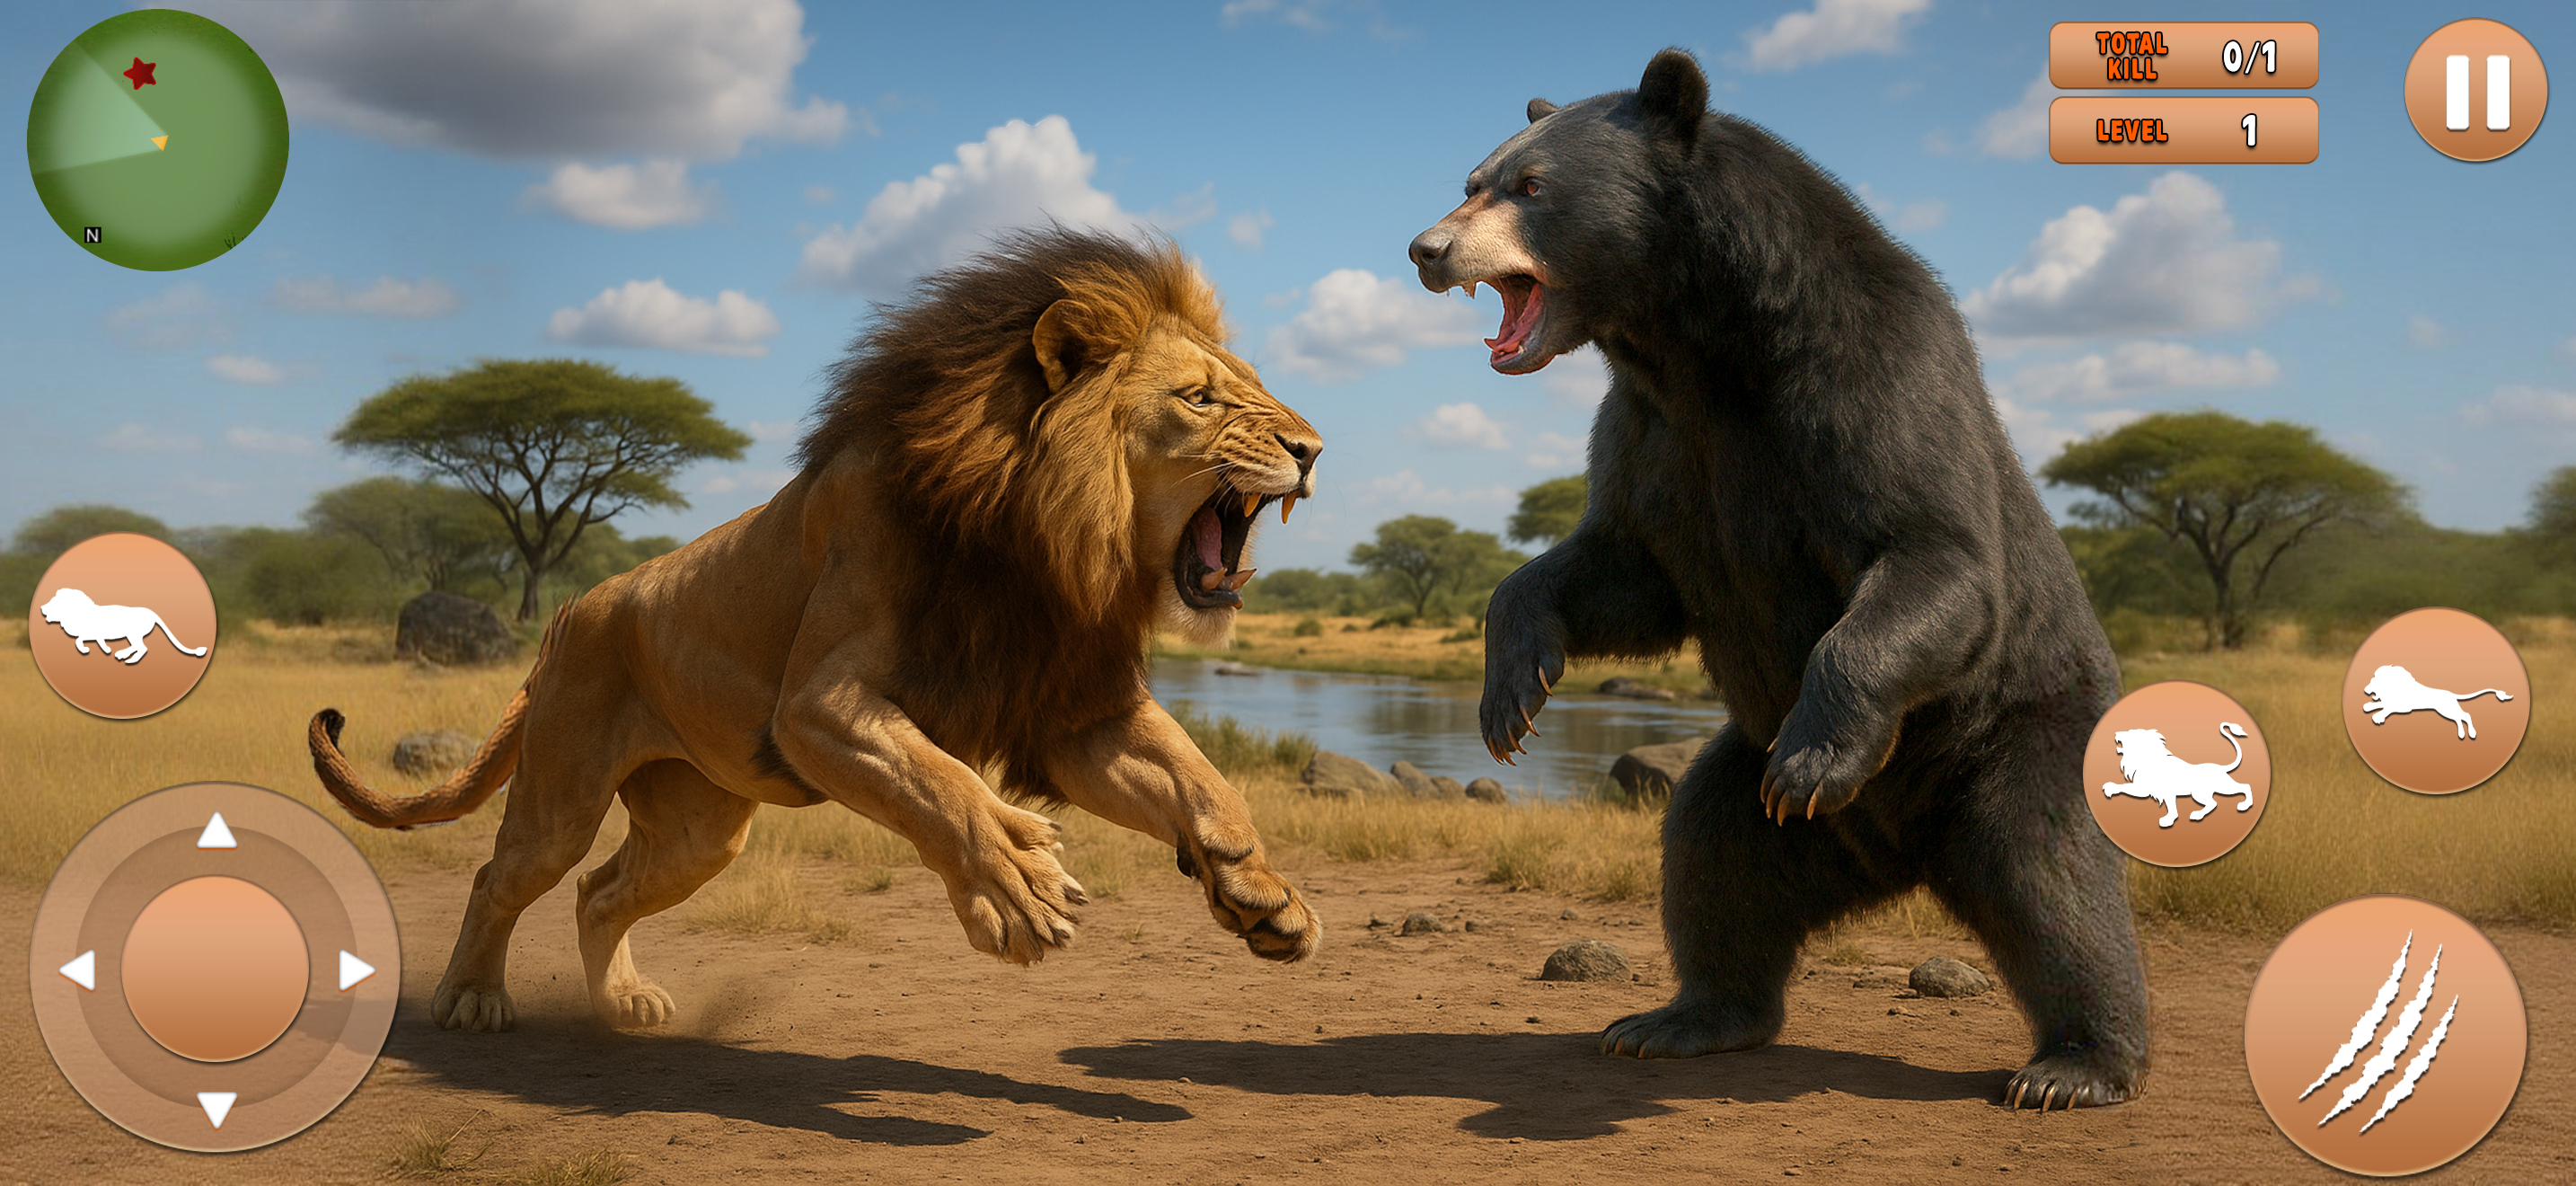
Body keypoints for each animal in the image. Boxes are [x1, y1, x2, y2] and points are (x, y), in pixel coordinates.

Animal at [41, 587, 209, 665]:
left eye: (54, 602)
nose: (42, 608)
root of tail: (152, 613)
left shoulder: (93, 633)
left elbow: (78, 640)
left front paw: (88, 650)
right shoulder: (95, 635)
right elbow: (84, 640)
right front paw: (105, 649)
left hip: (133, 634)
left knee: (142, 648)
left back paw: (129, 659)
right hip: (132, 635)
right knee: (139, 647)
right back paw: (122, 654)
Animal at [307, 230, 1323, 1033]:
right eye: (1199, 399)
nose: (1312, 450)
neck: (1043, 543)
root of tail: (565, 616)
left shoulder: (1067, 707)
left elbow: (1201, 778)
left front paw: (1263, 896)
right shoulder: (815, 706)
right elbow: (942, 786)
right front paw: (1015, 887)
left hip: (701, 830)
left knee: (599, 893)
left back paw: (622, 1004)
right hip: (562, 790)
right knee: (504, 876)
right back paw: (472, 998)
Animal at [2101, 723, 2255, 828]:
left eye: (2130, 734)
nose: (2116, 733)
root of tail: (2220, 768)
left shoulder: (2155, 790)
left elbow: (2126, 787)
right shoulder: (2149, 790)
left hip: (2210, 790)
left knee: (2242, 788)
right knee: (2217, 801)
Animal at [2361, 664, 2512, 740]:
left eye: (2374, 681)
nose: (2366, 690)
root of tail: (2451, 694)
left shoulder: (2404, 707)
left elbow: (2387, 708)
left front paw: (2377, 717)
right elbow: (2381, 705)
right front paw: (2368, 707)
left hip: (2446, 709)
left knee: (2466, 715)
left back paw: (2472, 734)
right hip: (2446, 711)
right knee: (2459, 718)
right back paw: (2462, 734)